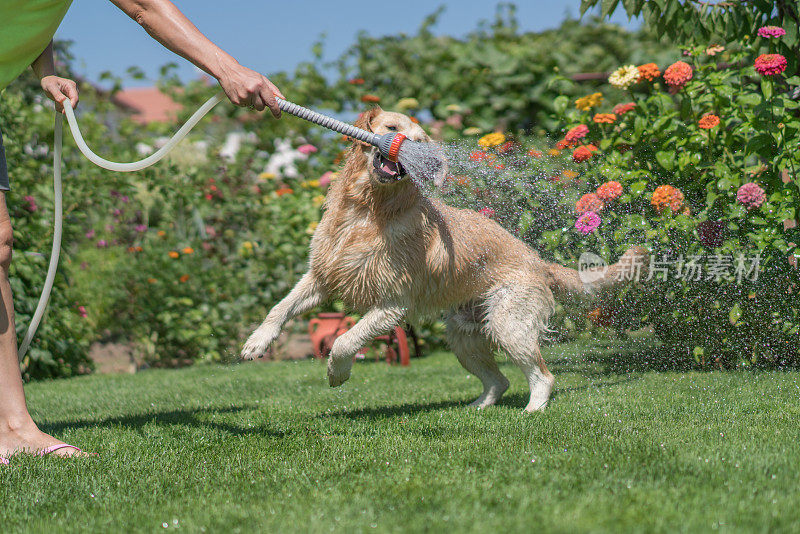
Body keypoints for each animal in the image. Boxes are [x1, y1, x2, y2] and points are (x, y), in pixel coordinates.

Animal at [241, 107, 648, 412]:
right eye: (391, 128)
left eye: (421, 141)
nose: (413, 149)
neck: (368, 210)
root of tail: (538, 260)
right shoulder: (320, 276)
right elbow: (279, 308)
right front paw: (257, 342)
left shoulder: (392, 304)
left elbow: (344, 340)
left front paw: (336, 373)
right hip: (463, 336)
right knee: (499, 380)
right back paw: (477, 408)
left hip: (507, 323)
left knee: (543, 376)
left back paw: (533, 409)